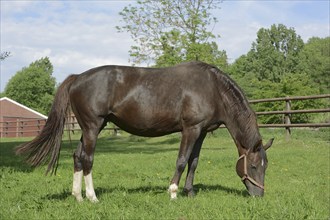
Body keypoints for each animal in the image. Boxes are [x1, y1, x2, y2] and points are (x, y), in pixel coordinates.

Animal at [15, 61, 274, 202]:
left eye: (265, 166)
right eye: (253, 166)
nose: (259, 195)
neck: (213, 89)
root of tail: (77, 77)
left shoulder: (200, 132)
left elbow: (194, 162)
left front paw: (189, 193)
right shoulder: (190, 129)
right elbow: (182, 161)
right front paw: (173, 192)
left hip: (90, 128)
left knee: (78, 157)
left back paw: (78, 196)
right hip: (92, 127)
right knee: (87, 158)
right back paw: (92, 197)